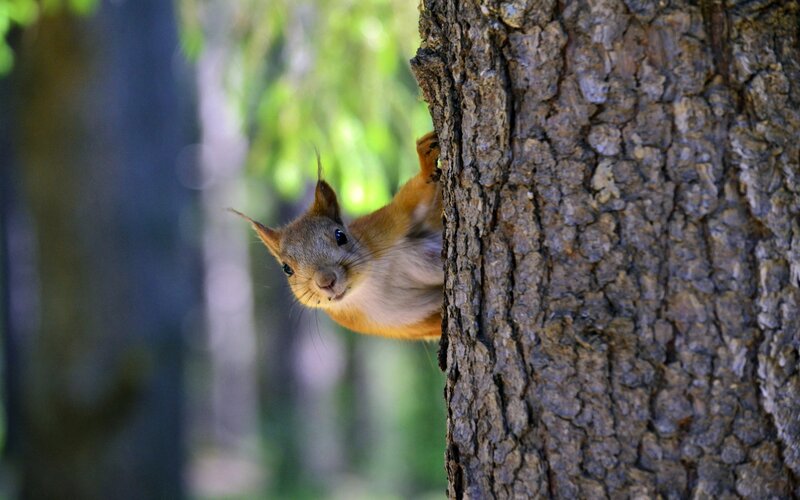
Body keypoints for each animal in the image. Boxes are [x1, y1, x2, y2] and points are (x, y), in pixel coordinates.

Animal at [231, 131, 443, 340]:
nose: (326, 281)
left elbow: (415, 199)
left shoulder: (386, 225)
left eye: (341, 236)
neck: (367, 288)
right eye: (286, 269)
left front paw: (426, 157)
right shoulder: (405, 323)